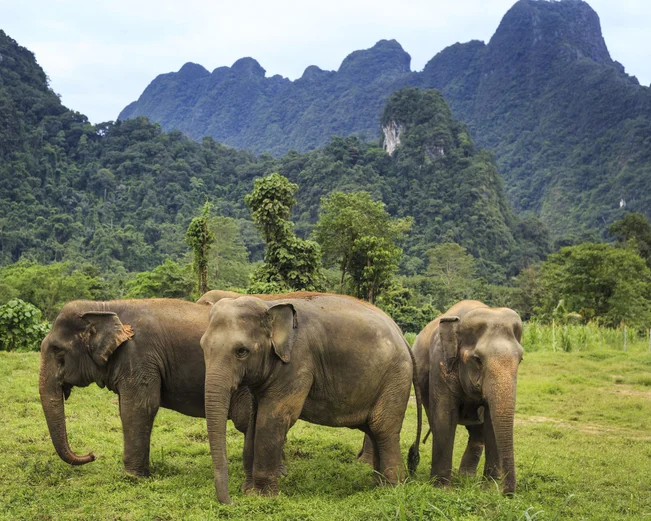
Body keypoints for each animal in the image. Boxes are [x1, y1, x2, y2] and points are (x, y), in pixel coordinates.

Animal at [38, 298, 253, 477]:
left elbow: (138, 408)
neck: (104, 306)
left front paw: (132, 476)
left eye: (57, 350)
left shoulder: (138, 356)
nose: (92, 454)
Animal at [200, 294, 422, 504]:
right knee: (374, 429)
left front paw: (261, 497)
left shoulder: (297, 363)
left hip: (395, 378)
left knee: (383, 429)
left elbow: (273, 418)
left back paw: (391, 488)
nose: (232, 502)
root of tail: (403, 338)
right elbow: (255, 420)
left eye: (242, 351)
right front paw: (248, 491)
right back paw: (377, 485)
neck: (268, 305)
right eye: (202, 347)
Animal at [412, 300, 523, 494]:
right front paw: (442, 489)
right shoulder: (440, 362)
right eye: (478, 359)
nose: (507, 494)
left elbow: (491, 421)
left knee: (477, 432)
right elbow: (444, 417)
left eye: (521, 359)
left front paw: (488, 488)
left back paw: (466, 477)